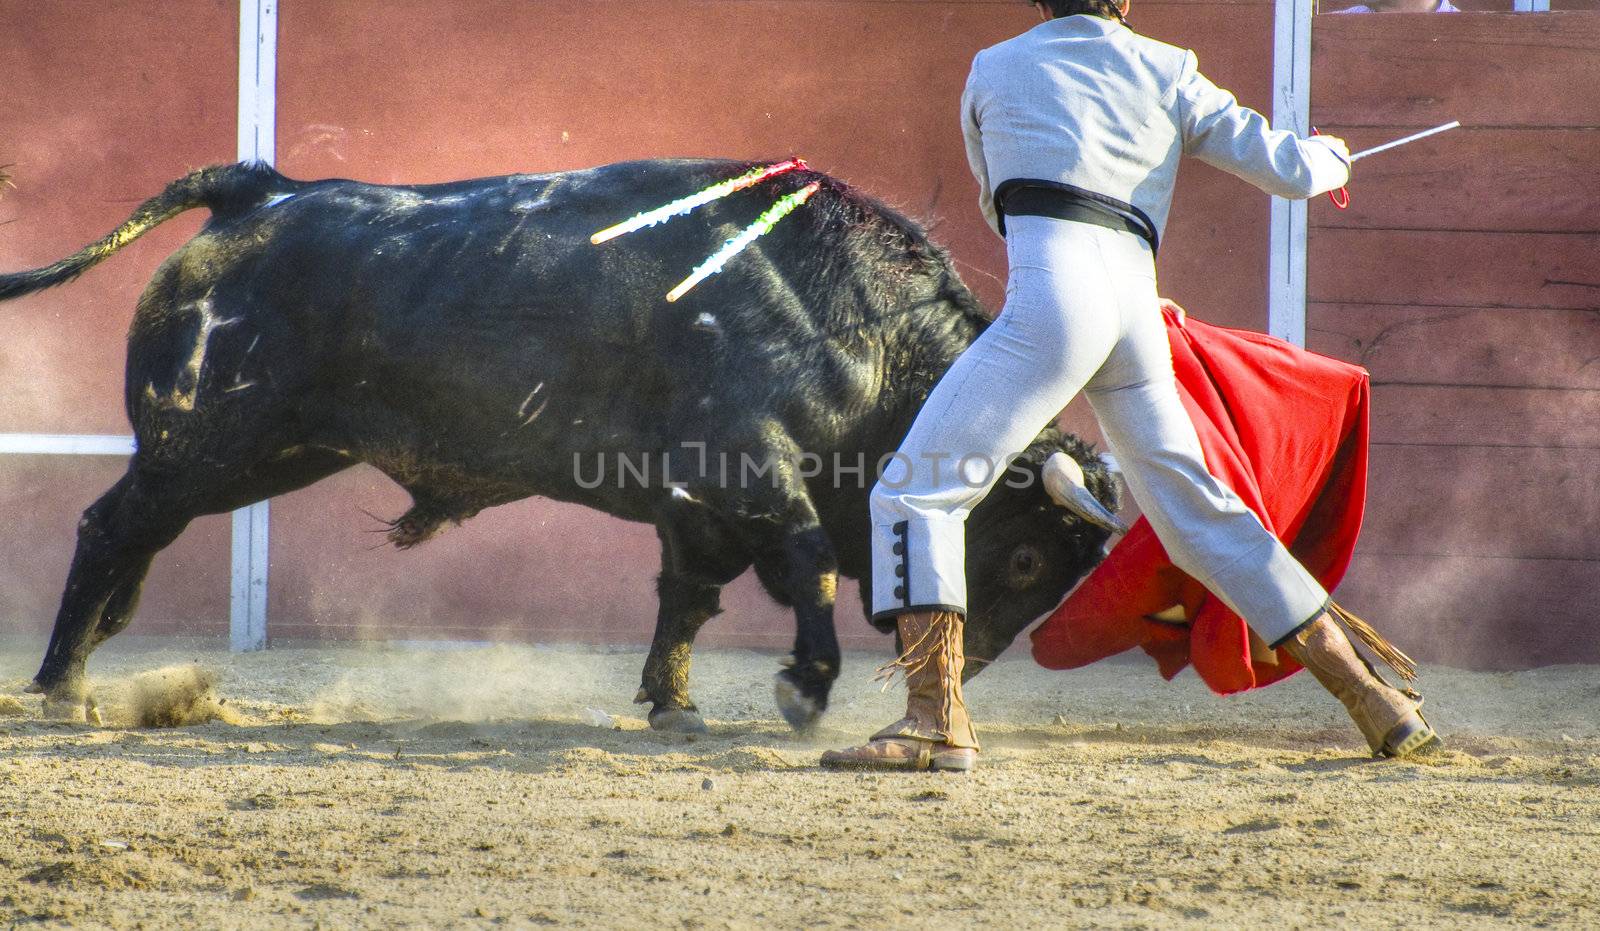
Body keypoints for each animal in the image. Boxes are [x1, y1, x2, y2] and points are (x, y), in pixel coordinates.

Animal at [0, 158, 1120, 729]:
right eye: (1026, 555)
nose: (970, 669)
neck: (847, 320)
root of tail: (259, 192)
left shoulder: (696, 506)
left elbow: (686, 599)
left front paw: (673, 706)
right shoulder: (750, 466)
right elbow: (804, 562)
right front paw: (804, 686)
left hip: (260, 456)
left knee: (140, 534)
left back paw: (97, 661)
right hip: (206, 442)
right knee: (109, 526)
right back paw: (61, 684)